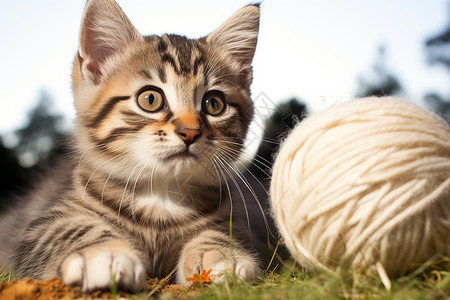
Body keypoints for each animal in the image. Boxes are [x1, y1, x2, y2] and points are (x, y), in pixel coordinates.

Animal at [0, 0, 260, 292]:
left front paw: (218, 254)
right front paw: (104, 253)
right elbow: (70, 228)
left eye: (214, 104)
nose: (190, 132)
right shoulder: (37, 228)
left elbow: (221, 232)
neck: (161, 196)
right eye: (150, 99)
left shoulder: (235, 220)